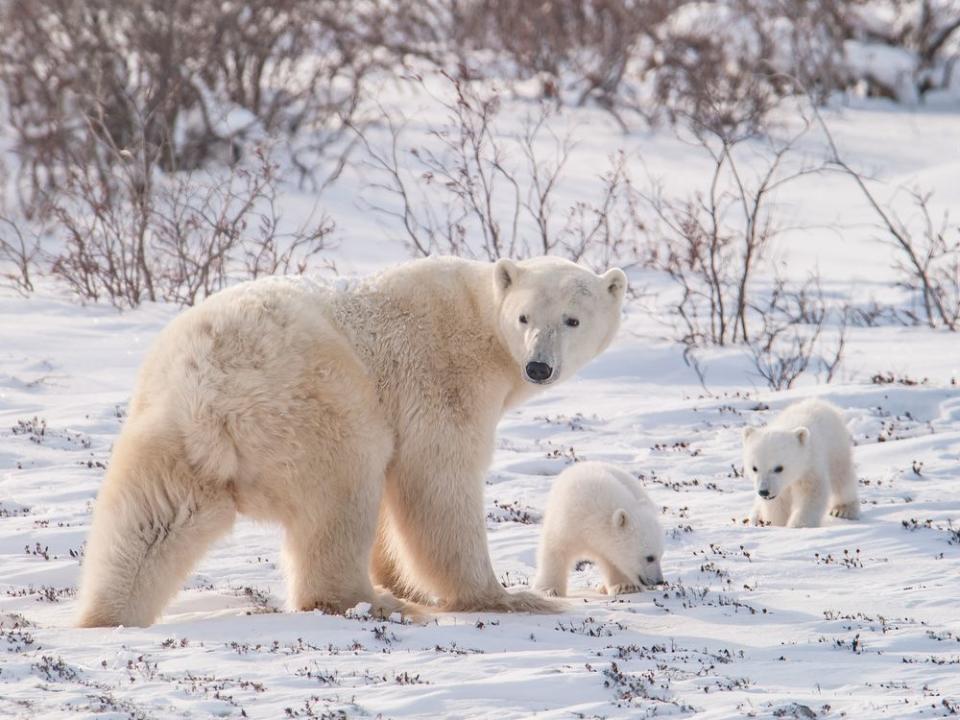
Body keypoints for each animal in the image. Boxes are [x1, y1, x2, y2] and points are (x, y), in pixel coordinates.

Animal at [77, 258, 632, 624]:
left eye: (572, 319)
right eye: (524, 317)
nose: (539, 366)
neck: (478, 317)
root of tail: (210, 392)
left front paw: (400, 576)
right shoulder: (441, 377)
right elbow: (437, 478)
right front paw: (502, 596)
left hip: (166, 428)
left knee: (149, 521)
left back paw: (105, 614)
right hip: (320, 400)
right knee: (343, 491)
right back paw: (377, 603)